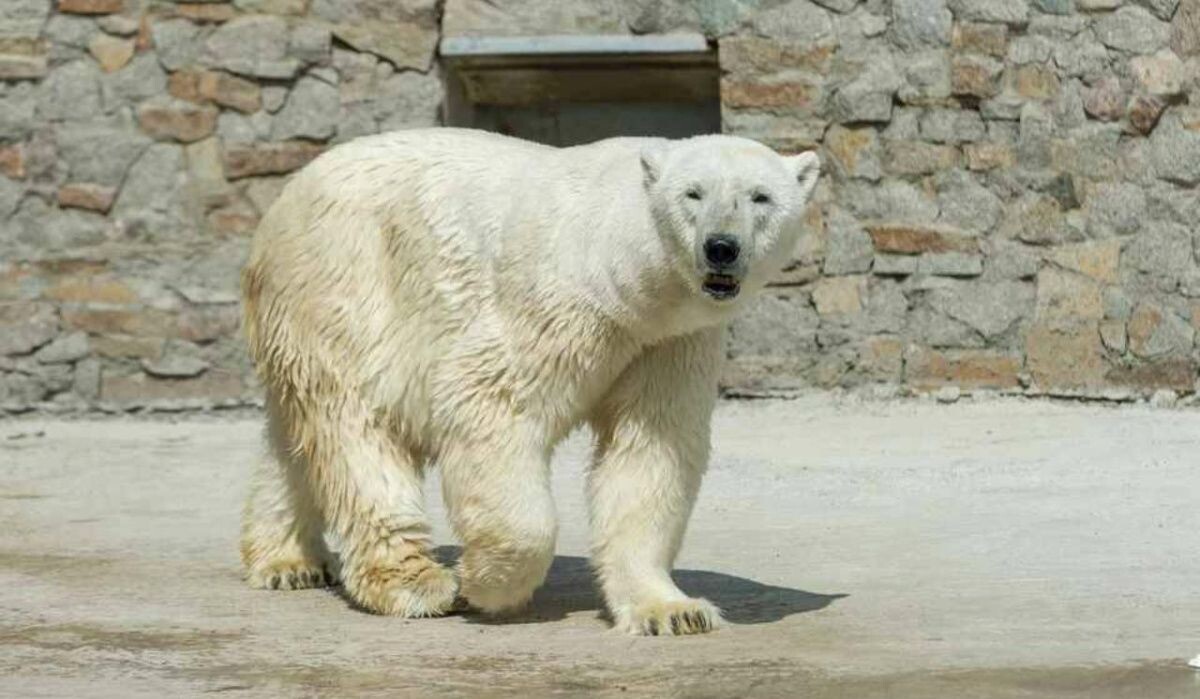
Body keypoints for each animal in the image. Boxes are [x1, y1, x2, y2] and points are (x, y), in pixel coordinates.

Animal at [239, 128, 820, 635]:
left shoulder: (669, 342)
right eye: (693, 193)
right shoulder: (560, 305)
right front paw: (483, 583)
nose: (721, 247)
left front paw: (671, 611)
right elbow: (490, 401)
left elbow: (652, 450)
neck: (631, 277)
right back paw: (415, 583)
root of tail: (285, 199)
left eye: (761, 196)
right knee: (357, 430)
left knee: (296, 438)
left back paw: (287, 561)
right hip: (345, 287)